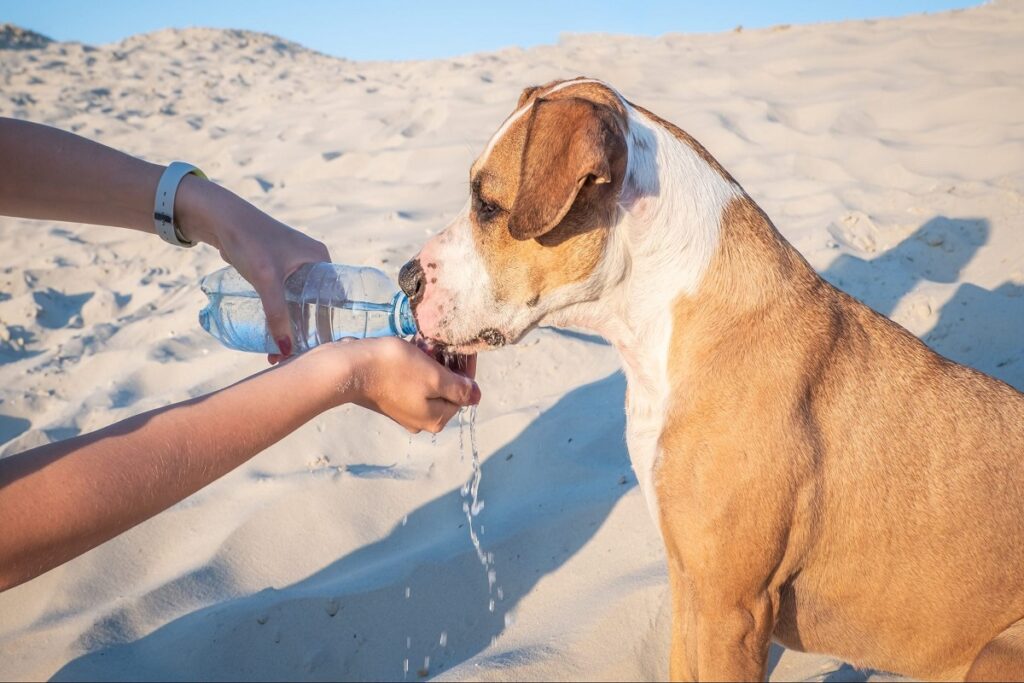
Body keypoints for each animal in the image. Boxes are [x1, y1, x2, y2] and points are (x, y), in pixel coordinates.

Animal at [397, 77, 1024, 679]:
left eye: (487, 204)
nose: (405, 277)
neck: (656, 328)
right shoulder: (688, 580)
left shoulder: (733, 607)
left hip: (997, 653)